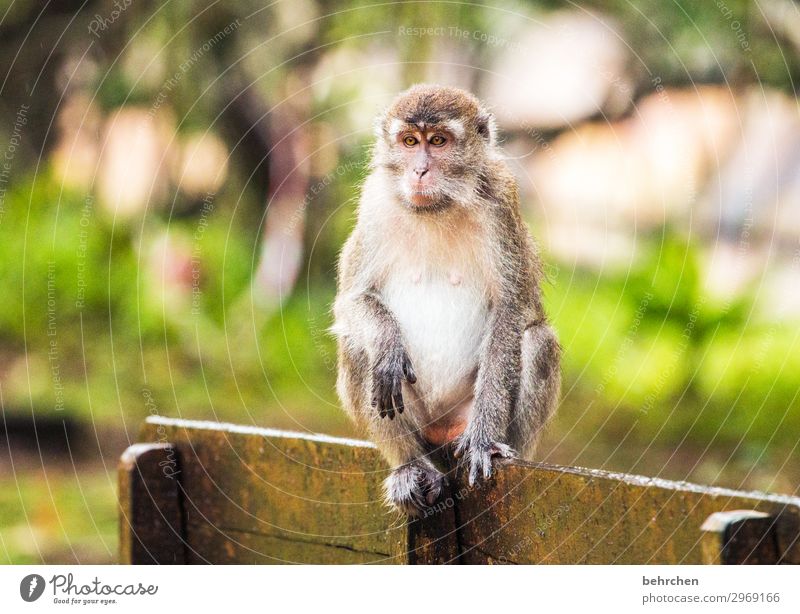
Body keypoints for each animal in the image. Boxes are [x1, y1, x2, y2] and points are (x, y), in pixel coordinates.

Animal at [332, 84, 564, 516]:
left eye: (438, 141)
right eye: (410, 142)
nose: (419, 171)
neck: (437, 208)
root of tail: (441, 431)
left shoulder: (500, 203)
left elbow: (512, 312)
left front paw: (484, 441)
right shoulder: (374, 204)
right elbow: (352, 301)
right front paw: (387, 341)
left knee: (538, 341)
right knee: (358, 347)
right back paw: (410, 467)